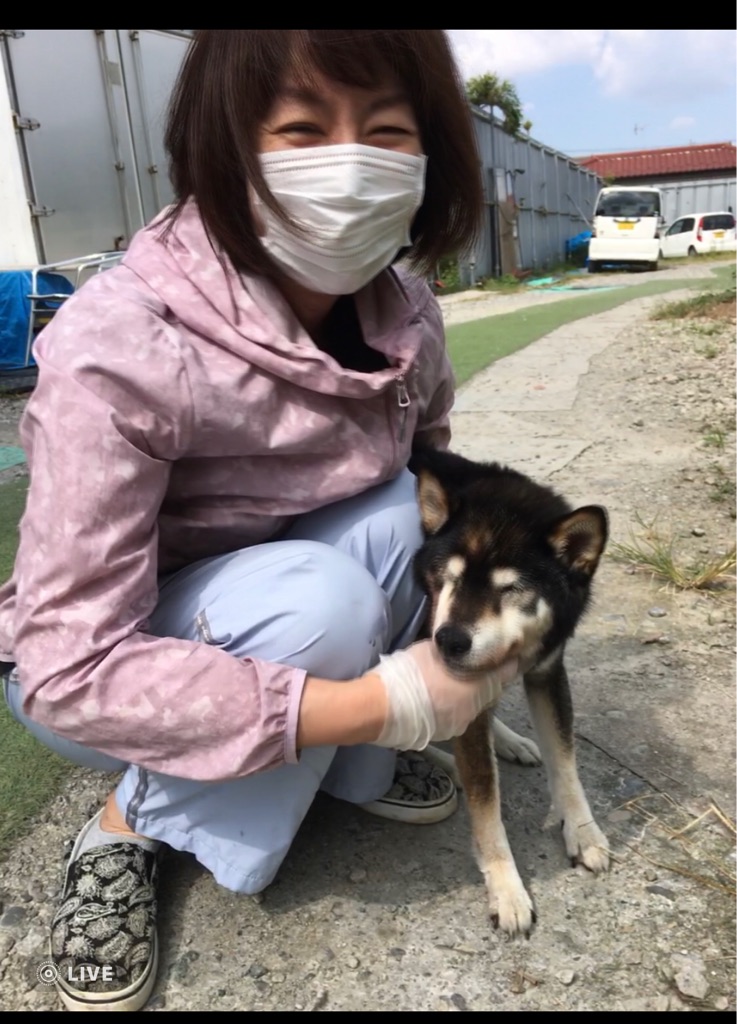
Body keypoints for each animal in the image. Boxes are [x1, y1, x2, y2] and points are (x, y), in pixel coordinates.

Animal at [409, 446, 610, 936]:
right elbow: (486, 802)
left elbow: (566, 763)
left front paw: (583, 831)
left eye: (512, 588)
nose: (448, 640)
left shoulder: (547, 672)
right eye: (449, 578)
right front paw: (506, 886)